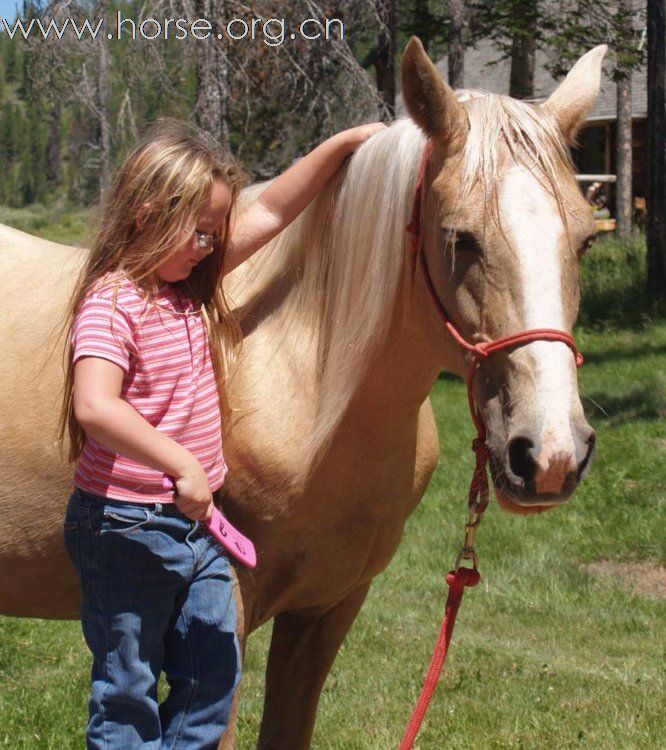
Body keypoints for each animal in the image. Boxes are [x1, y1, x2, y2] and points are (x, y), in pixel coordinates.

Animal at [0, 42, 600, 750]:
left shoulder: (329, 607)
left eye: (586, 238)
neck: (308, 387)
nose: (552, 454)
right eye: (460, 238)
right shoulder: (223, 611)